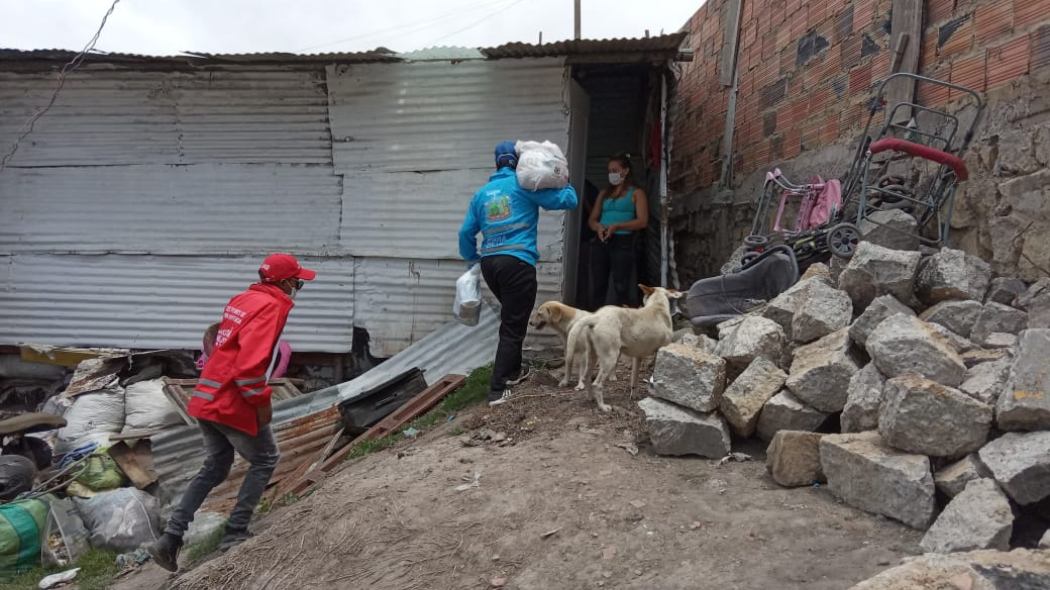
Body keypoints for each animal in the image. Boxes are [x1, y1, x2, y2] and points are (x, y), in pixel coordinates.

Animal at [567, 283, 680, 411]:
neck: (658, 306)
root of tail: (597, 317)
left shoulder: (637, 357)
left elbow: (634, 379)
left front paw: (634, 396)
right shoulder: (659, 353)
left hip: (592, 356)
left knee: (586, 377)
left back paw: (590, 398)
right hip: (610, 359)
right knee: (597, 384)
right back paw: (602, 406)